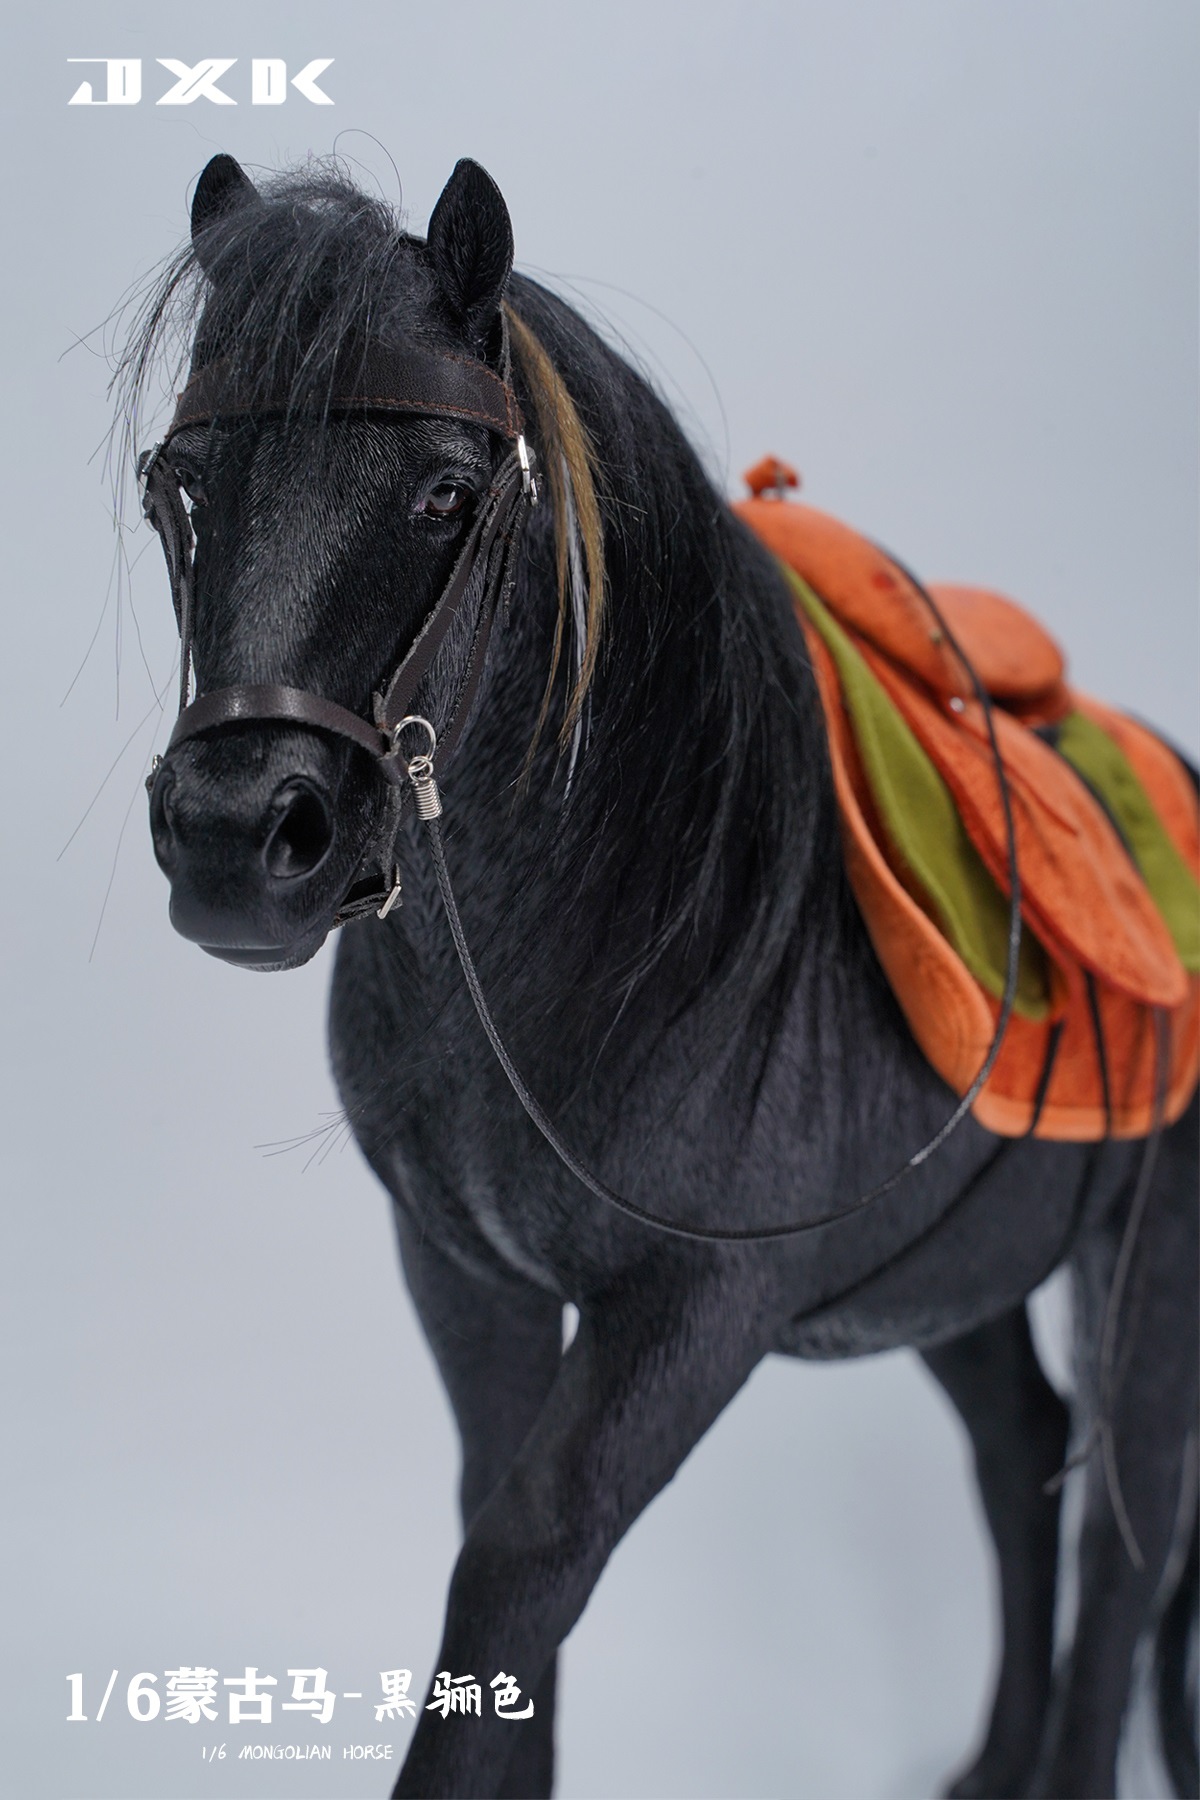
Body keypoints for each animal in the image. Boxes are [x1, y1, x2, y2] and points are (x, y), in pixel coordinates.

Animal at [122, 152, 1198, 1799]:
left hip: (1149, 1259)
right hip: (952, 1270)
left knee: (1127, 1531)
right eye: (181, 485)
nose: (241, 844)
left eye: (445, 494)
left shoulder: (692, 1317)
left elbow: (519, 1566)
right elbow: (503, 1564)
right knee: (1022, 1450)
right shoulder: (466, 1274)